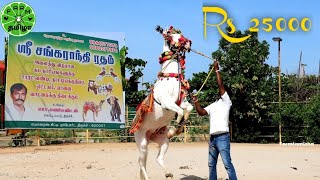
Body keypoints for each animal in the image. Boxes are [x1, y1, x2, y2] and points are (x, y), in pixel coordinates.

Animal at [131, 26, 194, 180]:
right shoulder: (166, 102)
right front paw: (176, 127)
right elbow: (179, 111)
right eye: (170, 35)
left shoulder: (181, 102)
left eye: (181, 34)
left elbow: (188, 108)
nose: (188, 42)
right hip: (142, 143)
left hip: (163, 140)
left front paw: (179, 127)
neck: (170, 78)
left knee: (158, 158)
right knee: (141, 162)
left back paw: (168, 173)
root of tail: (148, 136)